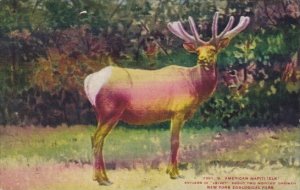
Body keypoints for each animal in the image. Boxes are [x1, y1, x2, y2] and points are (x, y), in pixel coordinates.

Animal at [83, 12, 250, 186]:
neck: (195, 86)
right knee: (96, 138)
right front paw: (174, 173)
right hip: (110, 110)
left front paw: (170, 170)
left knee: (98, 139)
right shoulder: (178, 110)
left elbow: (174, 141)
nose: (202, 60)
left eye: (213, 50)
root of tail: (89, 81)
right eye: (198, 51)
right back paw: (101, 179)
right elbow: (175, 141)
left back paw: (101, 177)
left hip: (100, 113)